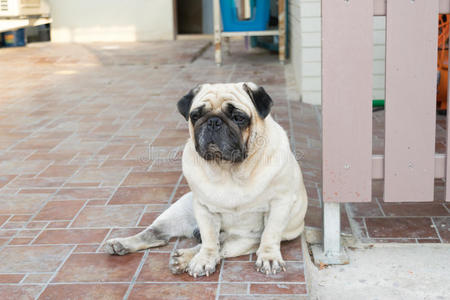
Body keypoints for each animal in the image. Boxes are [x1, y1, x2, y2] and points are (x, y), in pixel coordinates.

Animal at [105, 82, 308, 276]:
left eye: (238, 117)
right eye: (196, 116)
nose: (213, 121)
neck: (229, 170)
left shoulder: (279, 204)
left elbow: (270, 234)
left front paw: (269, 257)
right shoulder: (204, 209)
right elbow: (210, 240)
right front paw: (203, 261)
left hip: (241, 240)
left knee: (219, 245)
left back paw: (183, 258)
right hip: (179, 211)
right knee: (159, 234)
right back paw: (123, 244)